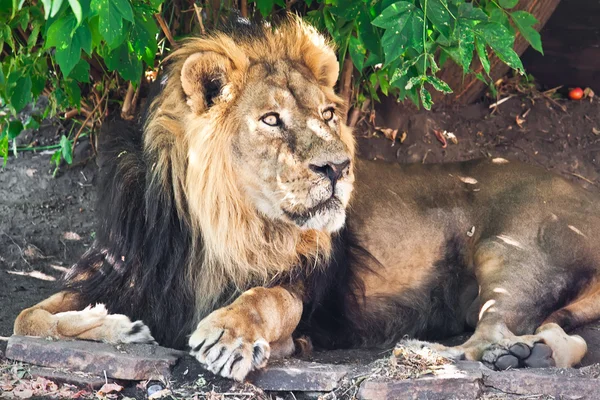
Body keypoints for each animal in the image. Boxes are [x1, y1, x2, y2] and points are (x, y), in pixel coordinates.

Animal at [12, 18, 600, 382]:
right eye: (271, 119)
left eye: (328, 115)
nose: (338, 167)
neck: (221, 224)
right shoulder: (119, 269)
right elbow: (27, 318)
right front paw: (119, 327)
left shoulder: (304, 290)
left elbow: (270, 299)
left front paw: (233, 336)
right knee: (556, 338)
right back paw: (526, 356)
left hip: (510, 252)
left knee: (493, 331)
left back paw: (433, 352)